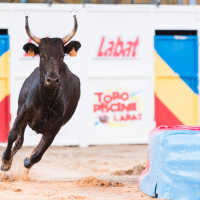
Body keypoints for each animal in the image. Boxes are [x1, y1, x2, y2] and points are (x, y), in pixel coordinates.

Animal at [1, 13, 81, 172]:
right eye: (42, 55)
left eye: (62, 56)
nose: (52, 80)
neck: (46, 100)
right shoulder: (23, 111)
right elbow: (12, 134)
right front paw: (5, 161)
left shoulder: (55, 127)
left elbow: (38, 154)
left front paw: (27, 161)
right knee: (19, 140)